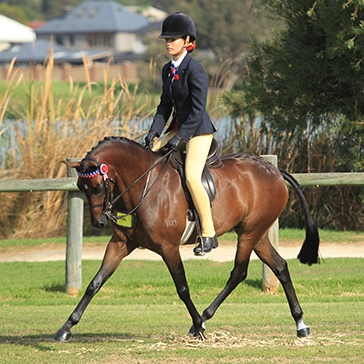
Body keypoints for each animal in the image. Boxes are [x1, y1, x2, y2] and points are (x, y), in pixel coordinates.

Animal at [54, 135, 318, 342]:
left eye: (98, 187)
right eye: (81, 187)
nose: (99, 222)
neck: (143, 184)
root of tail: (273, 170)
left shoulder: (168, 248)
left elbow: (182, 288)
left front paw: (199, 327)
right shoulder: (120, 245)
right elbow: (95, 283)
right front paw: (66, 328)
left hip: (249, 232)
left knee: (239, 272)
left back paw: (204, 317)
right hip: (257, 233)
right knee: (280, 267)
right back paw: (300, 323)